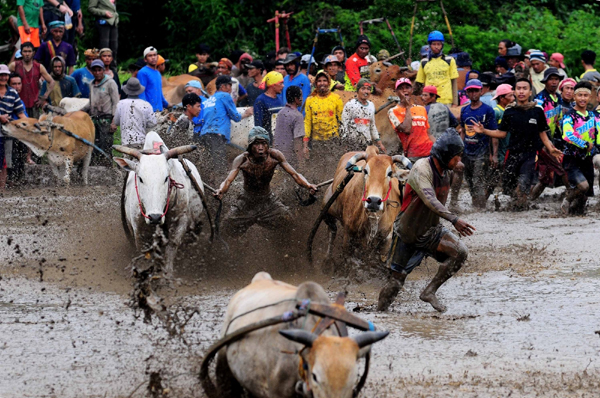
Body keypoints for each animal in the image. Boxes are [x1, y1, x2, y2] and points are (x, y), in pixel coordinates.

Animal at [113, 132, 205, 276]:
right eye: (140, 178)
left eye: (166, 178)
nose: (155, 217)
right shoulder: (138, 229)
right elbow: (146, 252)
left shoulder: (180, 223)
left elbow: (171, 248)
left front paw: (166, 274)